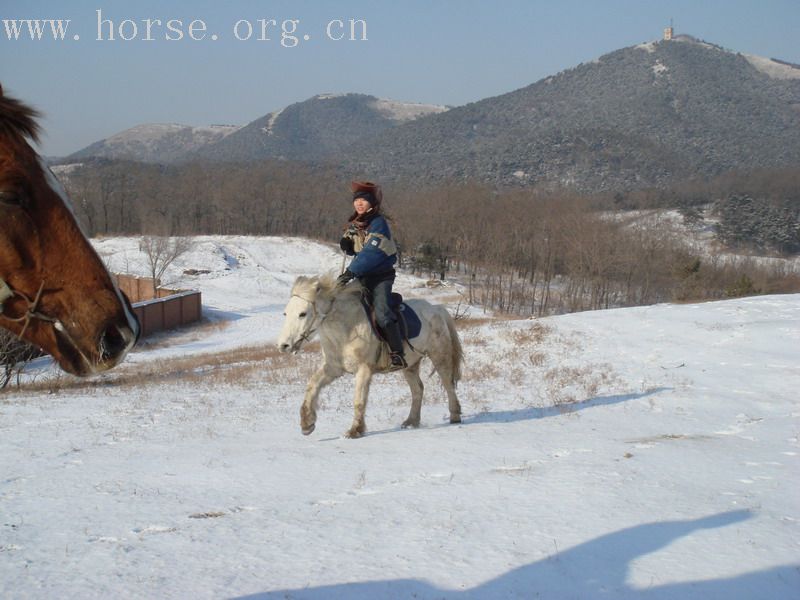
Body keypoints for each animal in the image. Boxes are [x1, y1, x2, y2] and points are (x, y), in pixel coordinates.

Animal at [276, 274, 462, 438]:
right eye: (285, 313)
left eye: (302, 313)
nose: (283, 345)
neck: (347, 327)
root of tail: (436, 309)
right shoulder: (333, 368)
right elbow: (312, 385)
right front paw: (307, 424)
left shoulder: (364, 369)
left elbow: (359, 400)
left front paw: (355, 431)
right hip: (410, 365)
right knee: (418, 389)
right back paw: (411, 421)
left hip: (439, 356)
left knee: (448, 383)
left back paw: (455, 416)